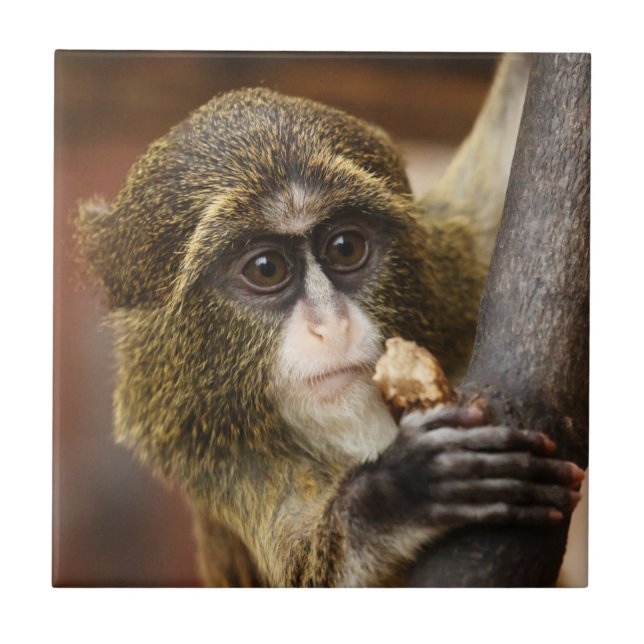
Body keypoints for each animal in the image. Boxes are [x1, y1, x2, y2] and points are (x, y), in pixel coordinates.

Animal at [75, 54, 584, 587]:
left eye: (344, 247)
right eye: (266, 268)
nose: (331, 326)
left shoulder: (451, 272)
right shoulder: (218, 459)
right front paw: (401, 492)